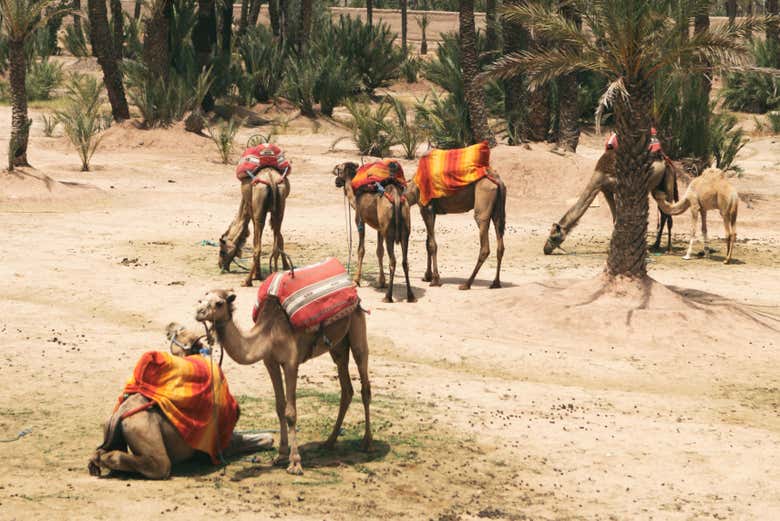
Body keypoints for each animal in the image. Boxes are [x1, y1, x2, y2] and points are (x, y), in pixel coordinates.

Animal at [87, 323, 273, 479]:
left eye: (181, 332)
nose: (170, 327)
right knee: (159, 465)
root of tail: (120, 413)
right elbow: (265, 438)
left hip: (112, 429)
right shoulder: (224, 442)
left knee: (105, 452)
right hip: (142, 431)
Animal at [195, 289, 371, 475]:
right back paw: (329, 441)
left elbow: (290, 413)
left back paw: (367, 443)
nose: (199, 312)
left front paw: (295, 463)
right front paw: (281, 455)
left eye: (219, 303)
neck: (269, 334)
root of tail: (355, 294)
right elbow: (280, 407)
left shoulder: (291, 363)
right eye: (200, 300)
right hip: (338, 346)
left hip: (357, 329)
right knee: (346, 388)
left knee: (364, 384)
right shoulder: (270, 362)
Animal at [332, 162, 415, 303]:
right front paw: (381, 282)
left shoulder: (360, 220)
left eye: (339, 170)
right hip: (405, 228)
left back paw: (388, 296)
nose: (336, 181)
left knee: (393, 261)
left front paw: (356, 280)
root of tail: (396, 197)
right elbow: (379, 251)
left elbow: (361, 250)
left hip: (389, 233)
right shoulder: (380, 228)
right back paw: (410, 295)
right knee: (405, 261)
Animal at [543, 149, 678, 255]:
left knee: (668, 215)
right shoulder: (606, 190)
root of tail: (665, 160)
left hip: (658, 184)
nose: (545, 249)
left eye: (554, 237)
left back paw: (669, 249)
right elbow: (615, 218)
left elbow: (618, 218)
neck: (599, 175)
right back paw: (656, 245)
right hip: (659, 186)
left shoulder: (617, 188)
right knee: (664, 213)